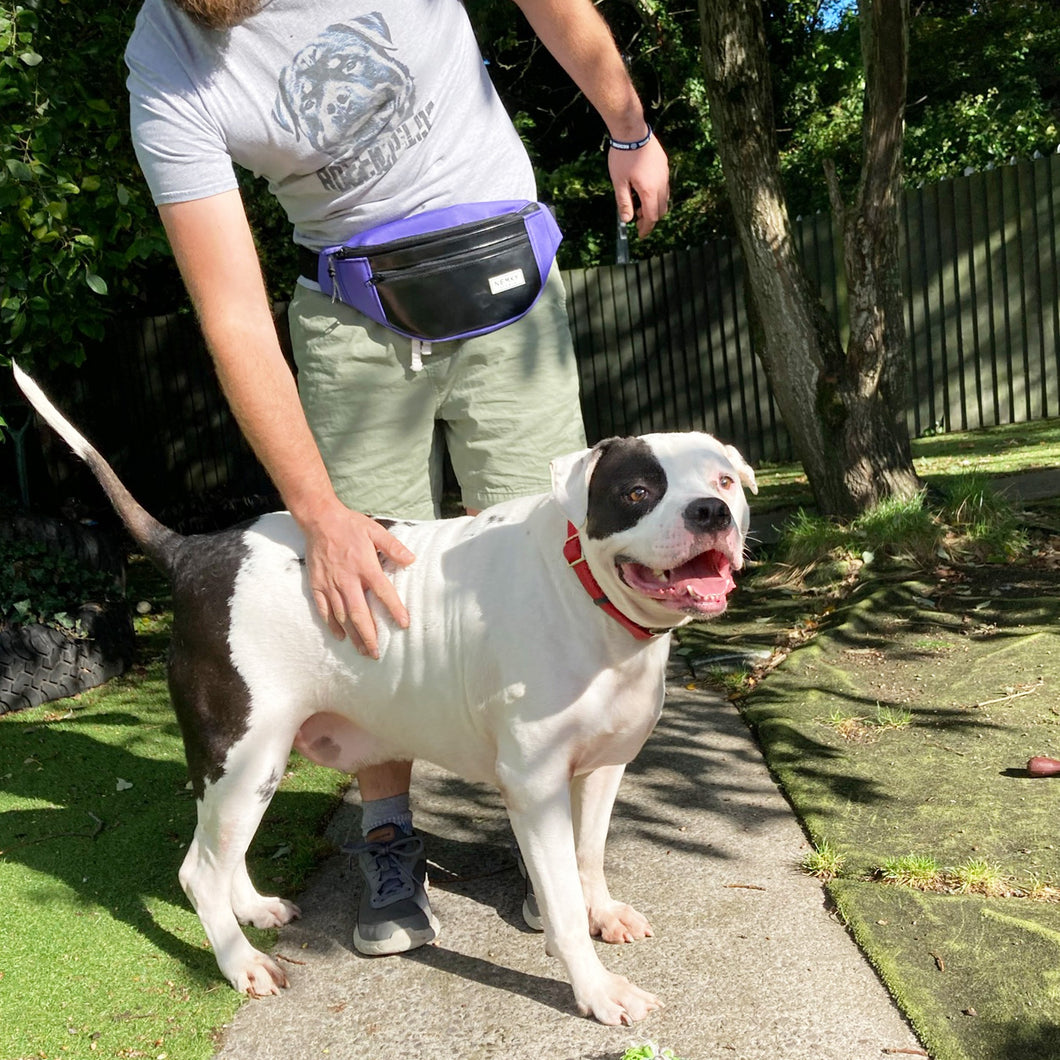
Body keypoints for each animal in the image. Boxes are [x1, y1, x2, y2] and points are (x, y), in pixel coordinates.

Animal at [10, 364, 754, 1026]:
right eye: (638, 491)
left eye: (722, 480)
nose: (711, 510)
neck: (589, 597)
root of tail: (193, 553)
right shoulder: (534, 784)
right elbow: (563, 904)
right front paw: (597, 991)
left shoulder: (601, 768)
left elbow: (587, 856)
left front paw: (602, 913)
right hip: (245, 753)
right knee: (197, 871)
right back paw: (242, 962)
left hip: (244, 764)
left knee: (218, 849)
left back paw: (251, 908)